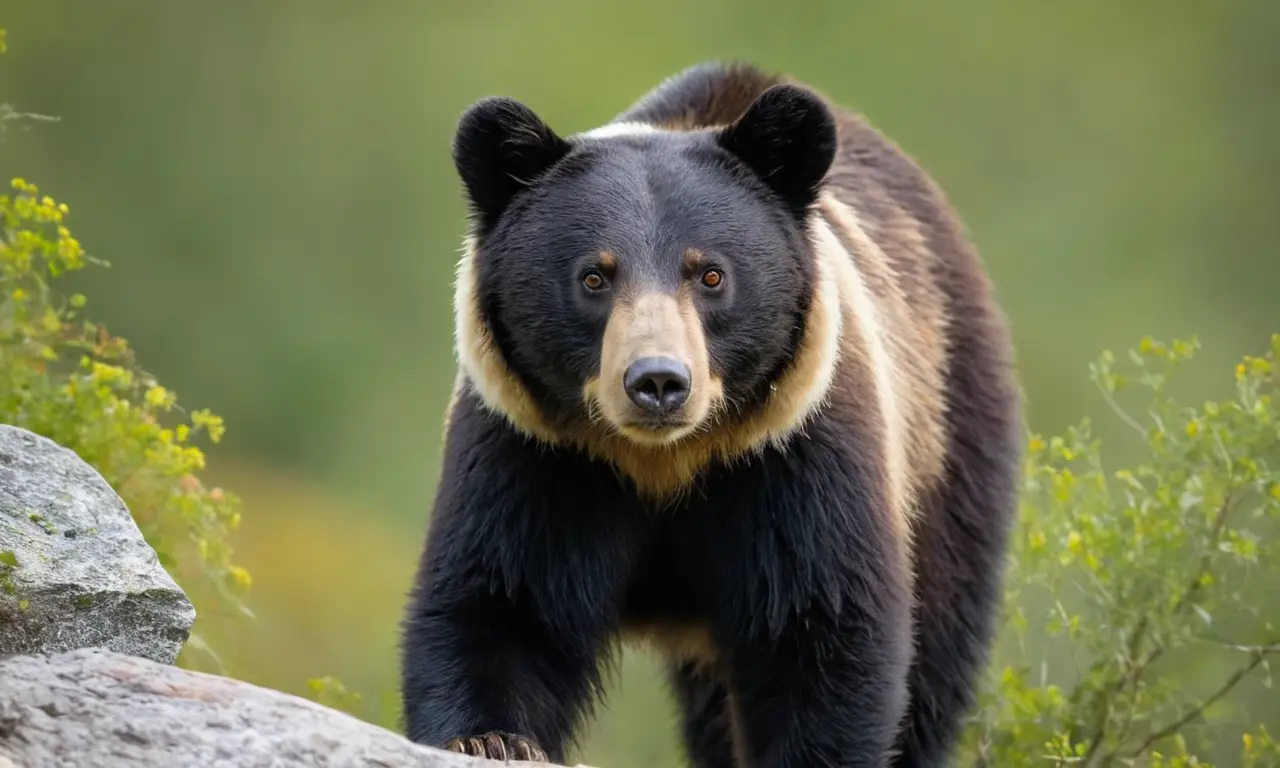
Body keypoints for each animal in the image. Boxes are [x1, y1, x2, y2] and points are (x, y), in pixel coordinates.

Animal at [399, 60, 1023, 768]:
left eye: (710, 274)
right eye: (594, 276)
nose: (658, 382)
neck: (663, 458)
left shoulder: (793, 452)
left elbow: (822, 622)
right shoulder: (537, 449)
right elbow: (503, 599)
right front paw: (493, 738)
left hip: (947, 440)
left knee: (941, 637)